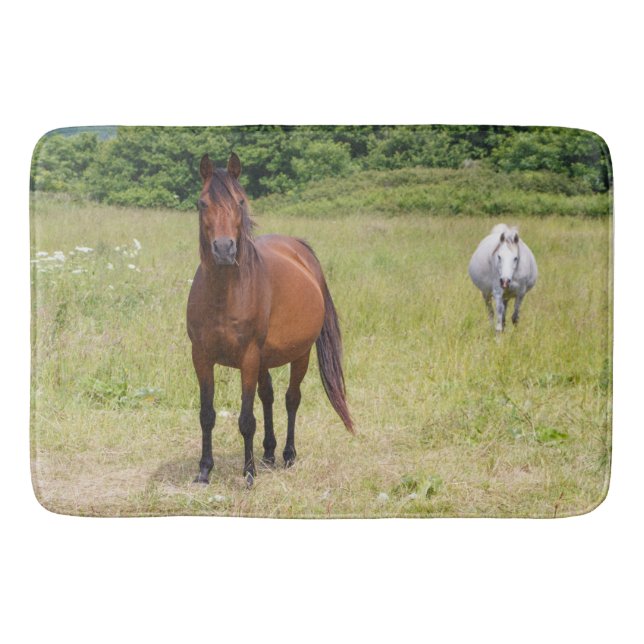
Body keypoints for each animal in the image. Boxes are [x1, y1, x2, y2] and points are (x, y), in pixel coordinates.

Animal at [186, 153, 354, 486]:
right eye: (202, 203)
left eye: (239, 201)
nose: (224, 249)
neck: (225, 294)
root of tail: (300, 250)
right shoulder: (201, 357)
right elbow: (207, 414)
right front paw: (204, 470)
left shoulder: (248, 357)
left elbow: (245, 419)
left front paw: (248, 473)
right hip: (264, 360)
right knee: (268, 397)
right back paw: (268, 452)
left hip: (300, 354)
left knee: (291, 399)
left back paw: (287, 455)